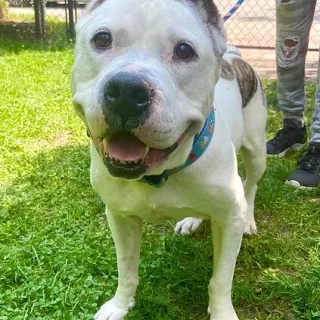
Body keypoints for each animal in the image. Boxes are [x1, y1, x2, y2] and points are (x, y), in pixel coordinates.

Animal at [72, 1, 268, 318]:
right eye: (102, 39)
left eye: (185, 51)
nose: (127, 90)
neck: (160, 172)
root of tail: (235, 58)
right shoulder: (119, 217)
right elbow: (126, 269)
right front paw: (120, 305)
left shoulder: (229, 219)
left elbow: (221, 279)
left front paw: (222, 311)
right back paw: (191, 219)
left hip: (257, 150)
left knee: (251, 184)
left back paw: (249, 218)